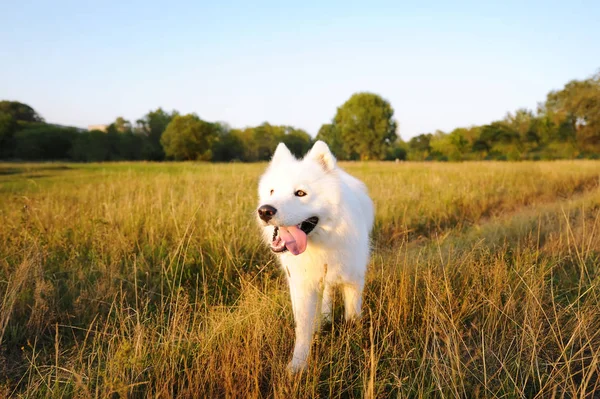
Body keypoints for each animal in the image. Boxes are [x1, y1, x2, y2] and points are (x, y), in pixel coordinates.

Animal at [255, 141, 372, 372]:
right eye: (272, 191)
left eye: (300, 193)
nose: (264, 211)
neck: (322, 243)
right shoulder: (302, 286)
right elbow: (302, 328)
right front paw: (298, 366)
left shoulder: (353, 282)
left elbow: (352, 317)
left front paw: (353, 343)